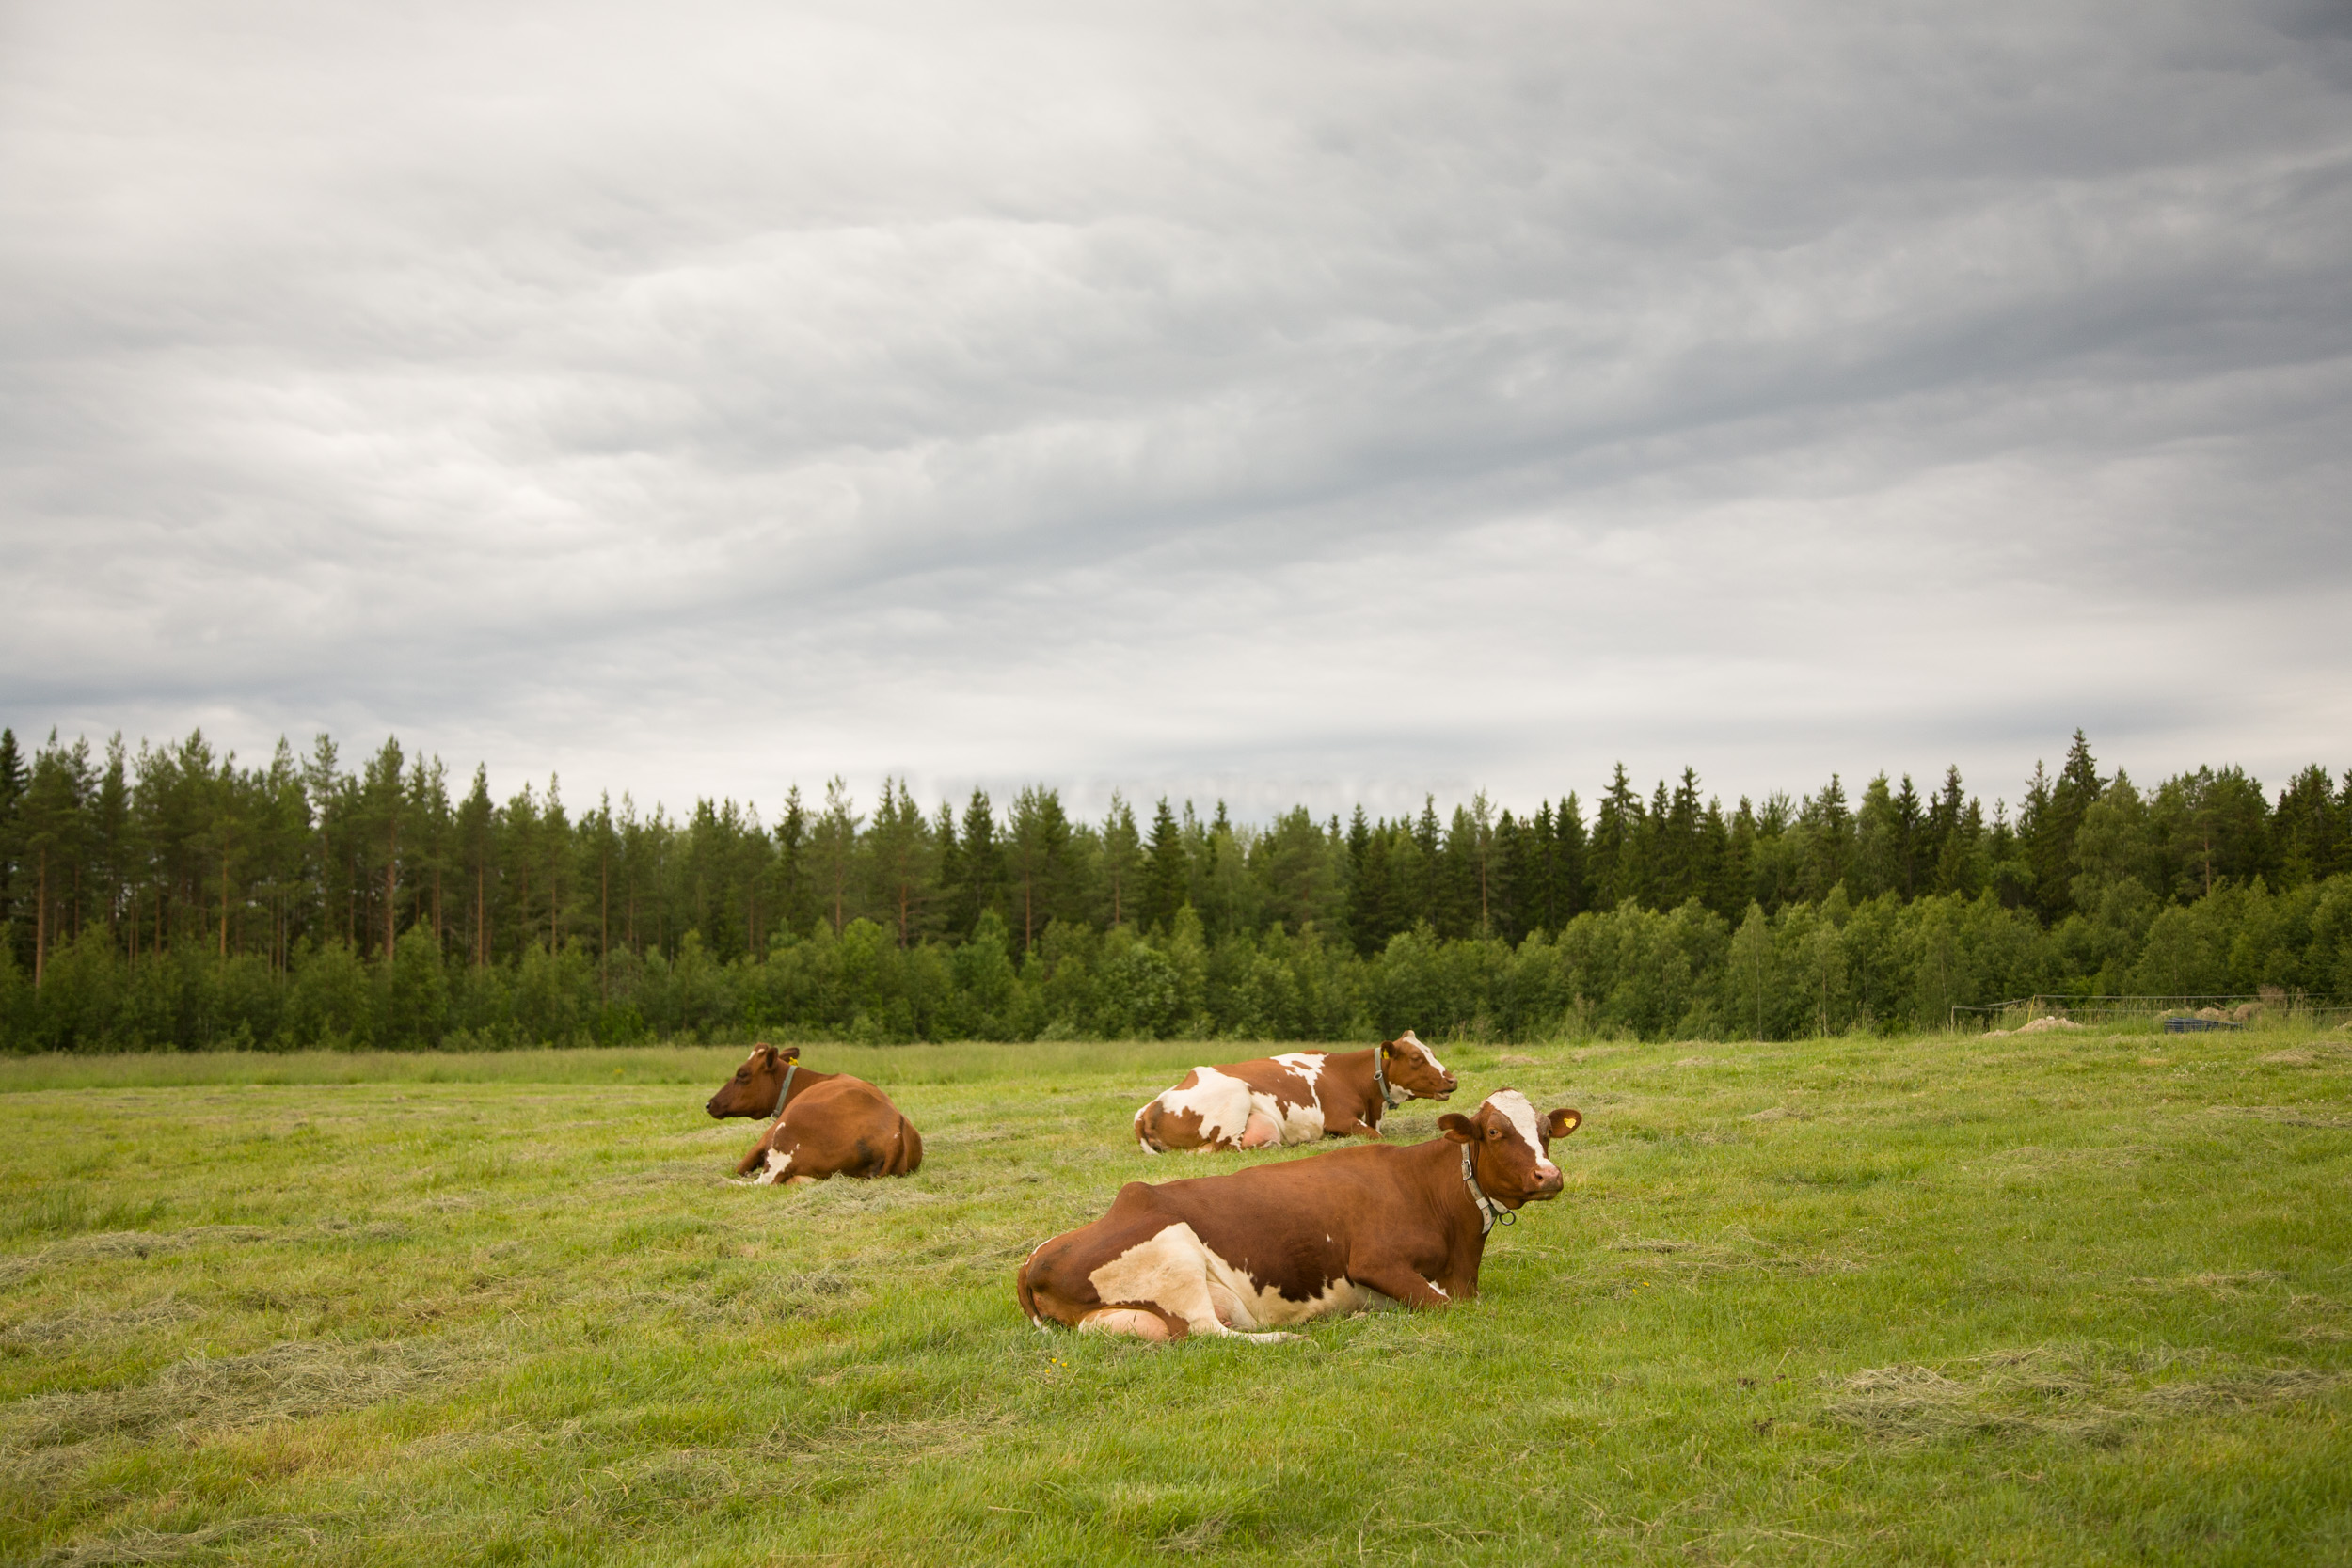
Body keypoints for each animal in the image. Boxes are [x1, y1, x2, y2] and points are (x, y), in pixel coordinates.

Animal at [701, 1048, 922, 1184]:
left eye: (742, 1074)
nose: (709, 1104)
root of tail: (895, 1130)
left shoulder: (765, 1138)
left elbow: (739, 1166)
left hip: (784, 1133)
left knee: (764, 1182)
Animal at [1025, 1090, 1581, 1335]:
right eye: (1495, 1132)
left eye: (1545, 1131)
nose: (1548, 1177)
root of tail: (1035, 1258)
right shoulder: (1375, 1262)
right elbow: (1447, 1306)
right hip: (1176, 1257)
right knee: (1210, 1332)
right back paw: (1290, 1336)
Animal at [1134, 1029, 1449, 1151]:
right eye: (1417, 1058)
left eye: (1431, 1051)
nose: (1452, 1080)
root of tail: (1150, 1107)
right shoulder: (1338, 1118)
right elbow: (1376, 1136)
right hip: (1235, 1099)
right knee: (1227, 1147)